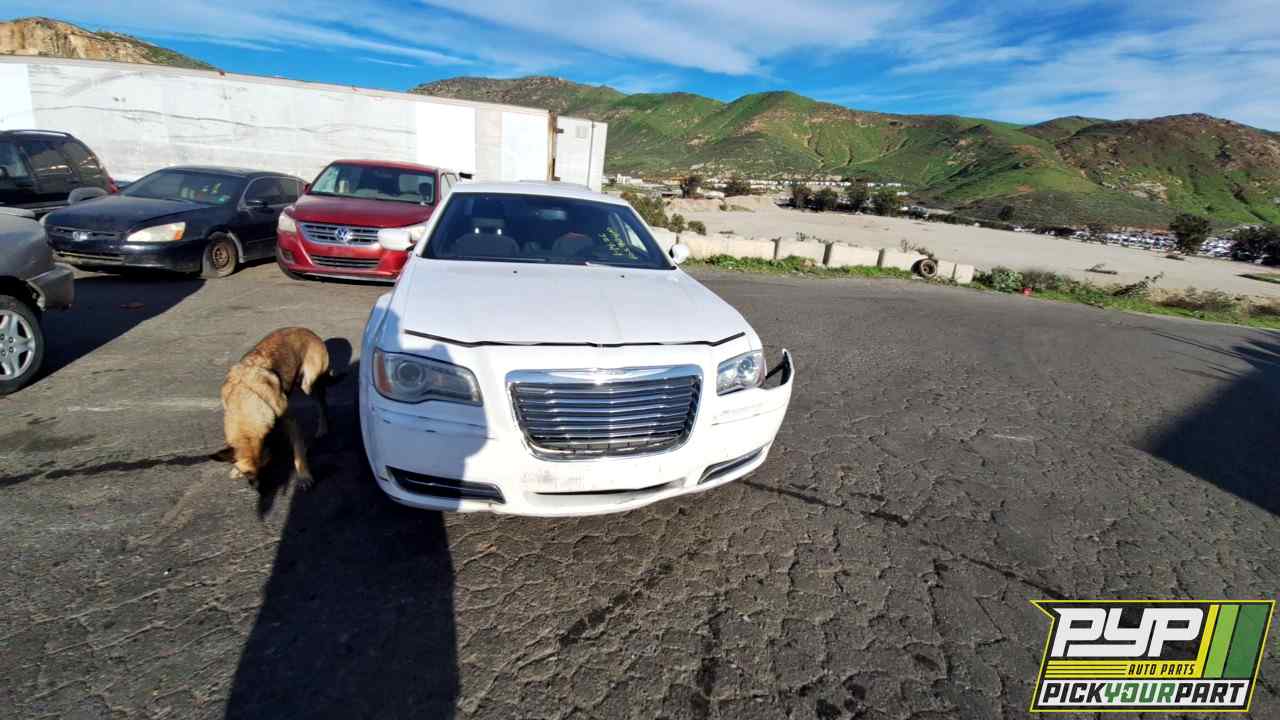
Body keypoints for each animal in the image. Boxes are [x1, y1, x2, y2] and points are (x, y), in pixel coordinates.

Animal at [212, 327, 334, 489]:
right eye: (247, 473)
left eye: (265, 466)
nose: (257, 488)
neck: (246, 394)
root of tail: (309, 332)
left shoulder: (291, 422)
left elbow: (298, 453)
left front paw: (303, 476)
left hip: (309, 384)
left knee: (321, 403)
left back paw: (323, 428)